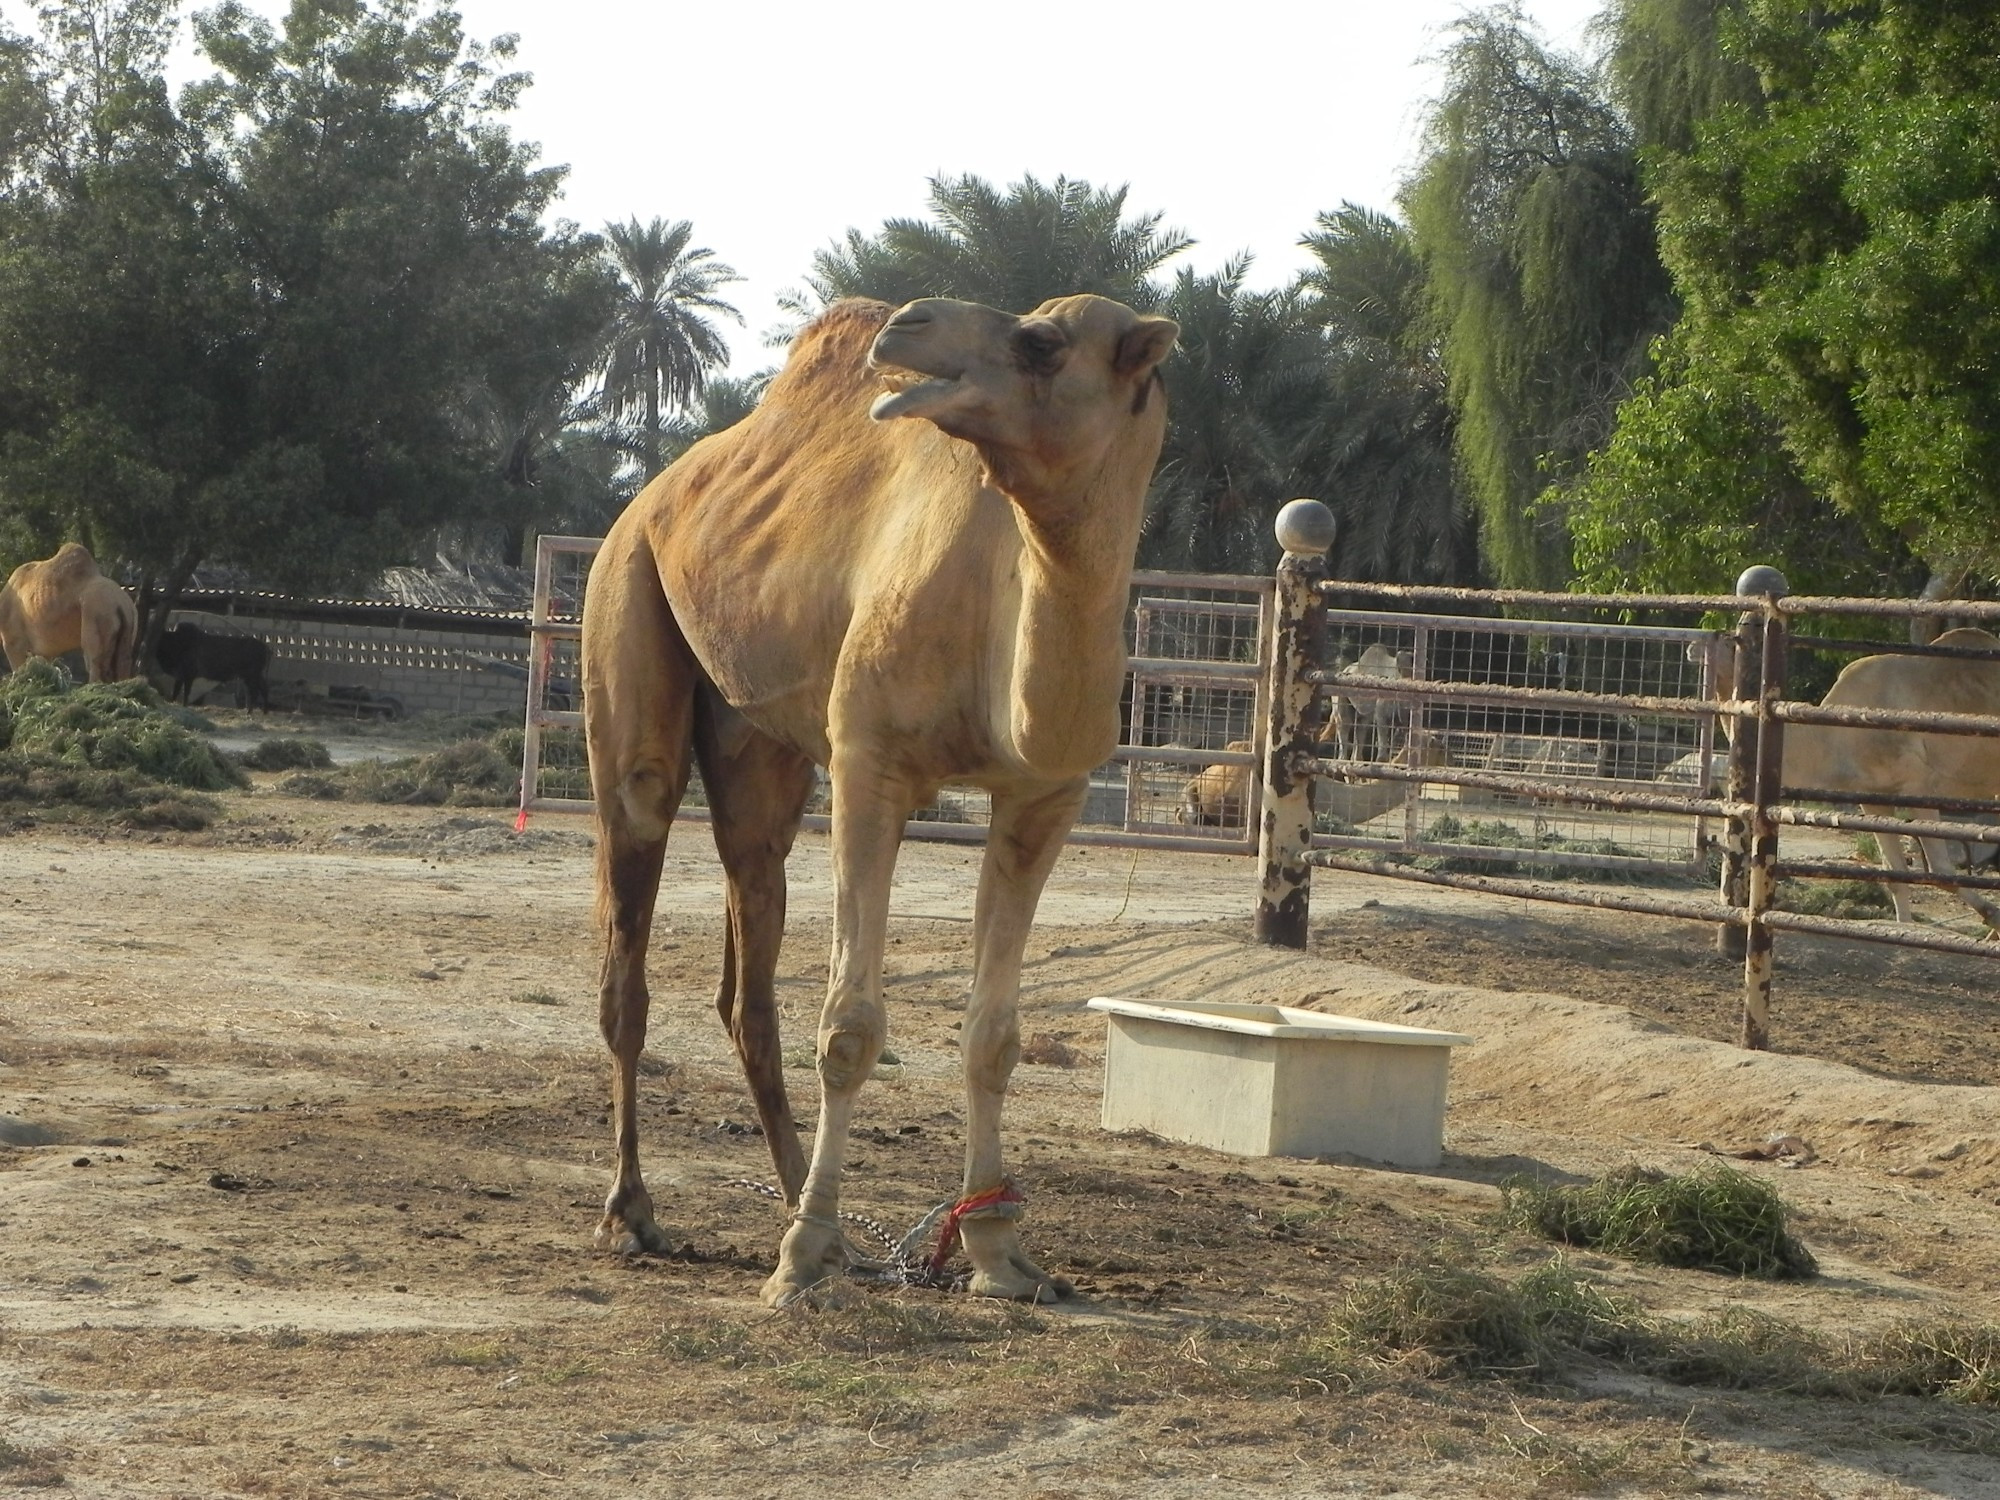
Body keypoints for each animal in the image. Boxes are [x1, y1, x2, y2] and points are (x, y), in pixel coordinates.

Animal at [0, 544, 137, 684]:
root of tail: (121, 604)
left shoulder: (13, 640)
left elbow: (17, 665)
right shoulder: (45, 649)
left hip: (96, 611)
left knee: (94, 658)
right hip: (130, 618)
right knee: (122, 659)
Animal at [584, 294, 1168, 1304]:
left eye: (1042, 342)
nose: (908, 325)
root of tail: (649, 497)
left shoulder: (1042, 796)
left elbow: (993, 1036)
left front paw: (1001, 1258)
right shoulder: (870, 766)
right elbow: (850, 1028)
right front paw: (796, 1271)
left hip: (759, 747)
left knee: (751, 948)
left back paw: (818, 1223)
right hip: (625, 600)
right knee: (635, 898)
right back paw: (638, 1216)